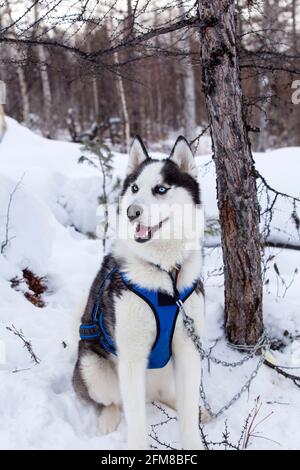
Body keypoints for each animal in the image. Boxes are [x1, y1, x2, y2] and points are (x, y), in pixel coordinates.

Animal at [73, 135, 205, 448]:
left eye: (161, 189)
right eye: (134, 188)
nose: (132, 212)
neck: (165, 276)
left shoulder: (188, 350)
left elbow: (188, 421)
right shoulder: (131, 357)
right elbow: (136, 423)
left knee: (173, 398)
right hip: (92, 368)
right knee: (113, 401)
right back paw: (108, 418)